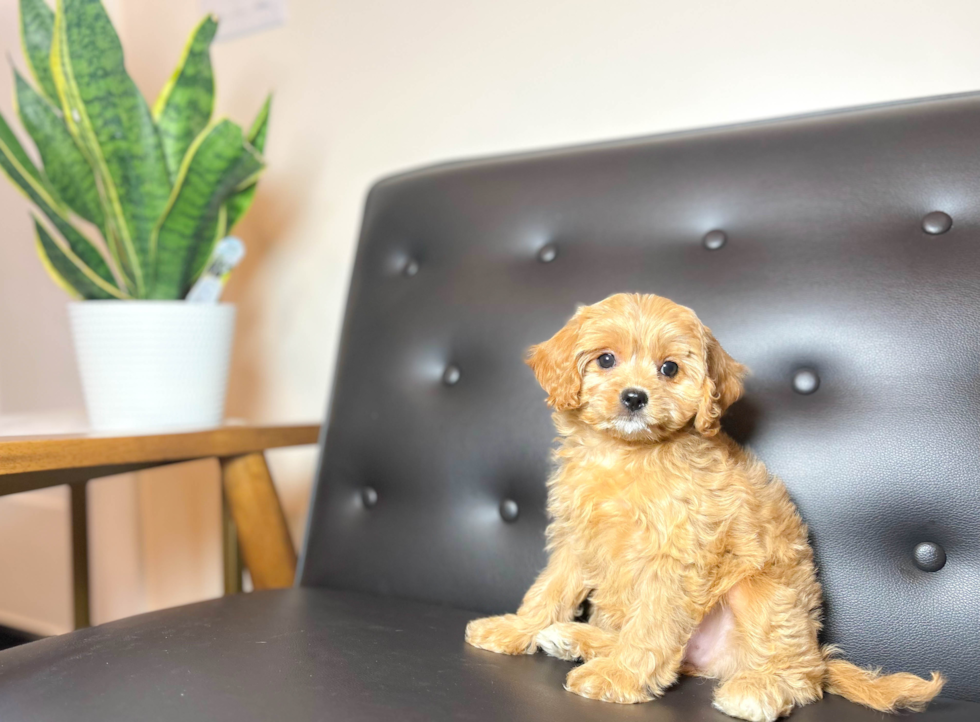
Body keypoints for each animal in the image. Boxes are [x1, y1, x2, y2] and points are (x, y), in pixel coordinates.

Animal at [466, 292, 940, 720]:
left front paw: (618, 677)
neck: (627, 454)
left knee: (801, 676)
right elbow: (550, 588)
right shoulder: (577, 536)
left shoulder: (676, 556)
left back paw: (759, 688)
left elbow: (652, 622)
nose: (634, 398)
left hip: (762, 593)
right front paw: (515, 628)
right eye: (605, 360)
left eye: (670, 368)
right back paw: (577, 639)